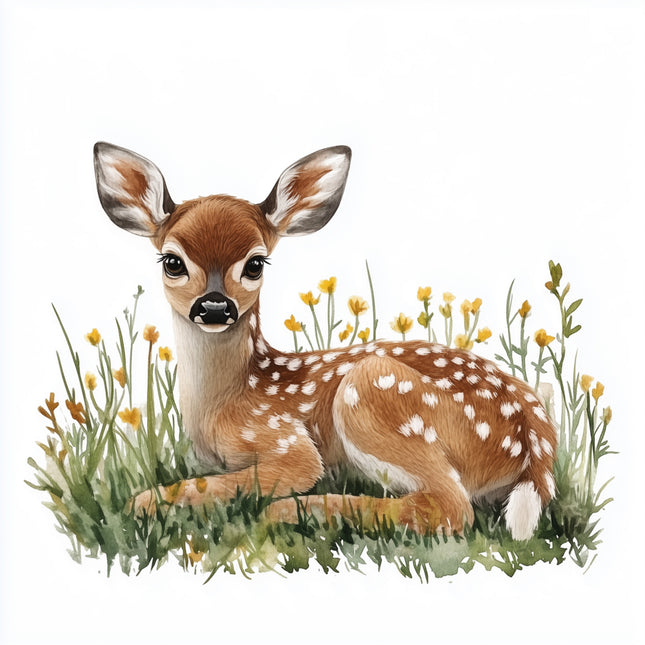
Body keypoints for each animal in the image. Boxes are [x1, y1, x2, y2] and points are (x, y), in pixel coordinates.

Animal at [93, 142, 557, 540]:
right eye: (172, 261)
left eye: (255, 263)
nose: (214, 307)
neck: (221, 404)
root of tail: (537, 439)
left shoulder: (285, 439)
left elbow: (263, 475)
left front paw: (143, 502)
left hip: (370, 391)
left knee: (450, 507)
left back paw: (294, 511)